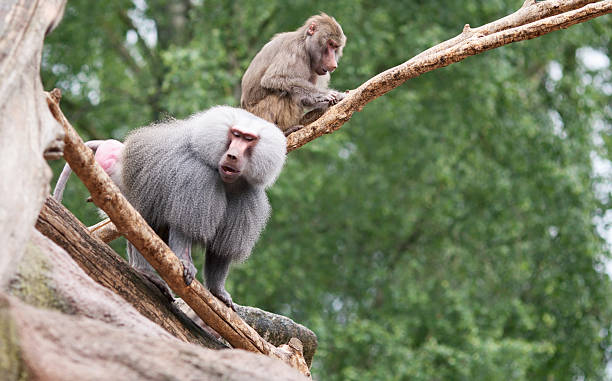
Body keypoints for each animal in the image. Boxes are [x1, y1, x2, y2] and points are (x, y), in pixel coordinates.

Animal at [53, 105, 286, 308]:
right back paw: (144, 271)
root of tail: (116, 148)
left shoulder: (246, 195)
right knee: (140, 224)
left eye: (248, 139)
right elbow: (184, 227)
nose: (232, 156)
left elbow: (221, 249)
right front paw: (186, 264)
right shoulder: (196, 179)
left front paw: (218, 292)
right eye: (235, 134)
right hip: (116, 182)